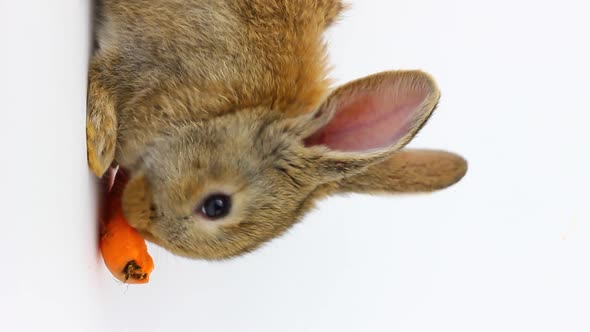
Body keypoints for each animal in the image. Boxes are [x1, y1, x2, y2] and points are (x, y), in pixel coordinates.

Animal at [86, 0, 468, 260]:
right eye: (217, 205)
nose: (138, 221)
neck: (221, 114)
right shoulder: (147, 65)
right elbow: (102, 78)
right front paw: (98, 150)